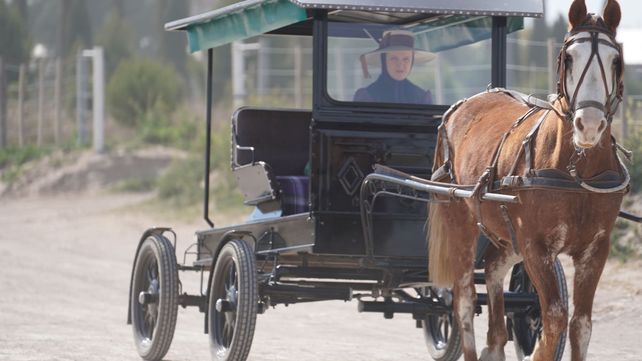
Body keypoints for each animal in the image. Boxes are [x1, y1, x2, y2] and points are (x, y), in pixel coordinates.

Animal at [424, 1, 624, 358]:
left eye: (615, 61)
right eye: (568, 58)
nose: (588, 125)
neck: (575, 173)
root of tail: (461, 106)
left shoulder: (595, 249)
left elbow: (580, 325)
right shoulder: (535, 247)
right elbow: (554, 319)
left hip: (506, 237)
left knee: (492, 269)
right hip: (460, 223)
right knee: (463, 299)